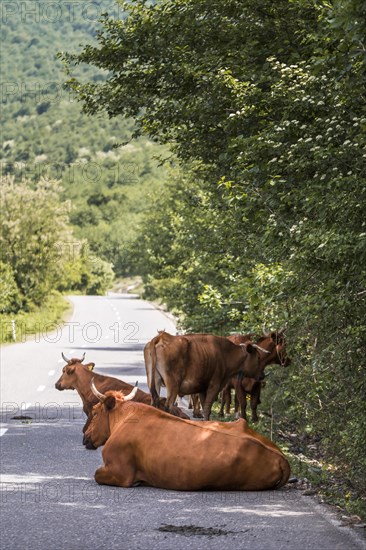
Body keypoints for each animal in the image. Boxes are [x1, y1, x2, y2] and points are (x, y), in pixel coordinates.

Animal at [86, 382, 292, 494]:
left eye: (95, 412)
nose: (85, 436)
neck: (125, 417)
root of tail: (281, 457)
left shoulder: (121, 473)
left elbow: (96, 474)